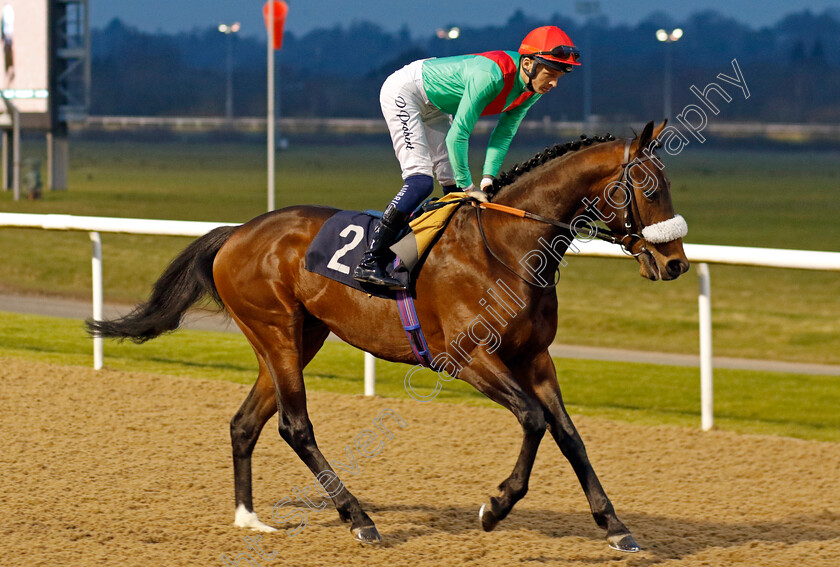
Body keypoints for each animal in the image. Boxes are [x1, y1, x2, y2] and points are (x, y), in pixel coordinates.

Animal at [87, 121, 688, 556]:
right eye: (649, 186)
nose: (676, 263)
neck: (506, 248)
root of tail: (237, 232)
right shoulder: (467, 358)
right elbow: (534, 421)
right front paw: (495, 506)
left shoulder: (536, 358)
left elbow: (570, 435)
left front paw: (615, 525)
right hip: (276, 330)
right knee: (294, 425)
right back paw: (360, 519)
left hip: (298, 337)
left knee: (245, 422)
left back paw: (250, 518)